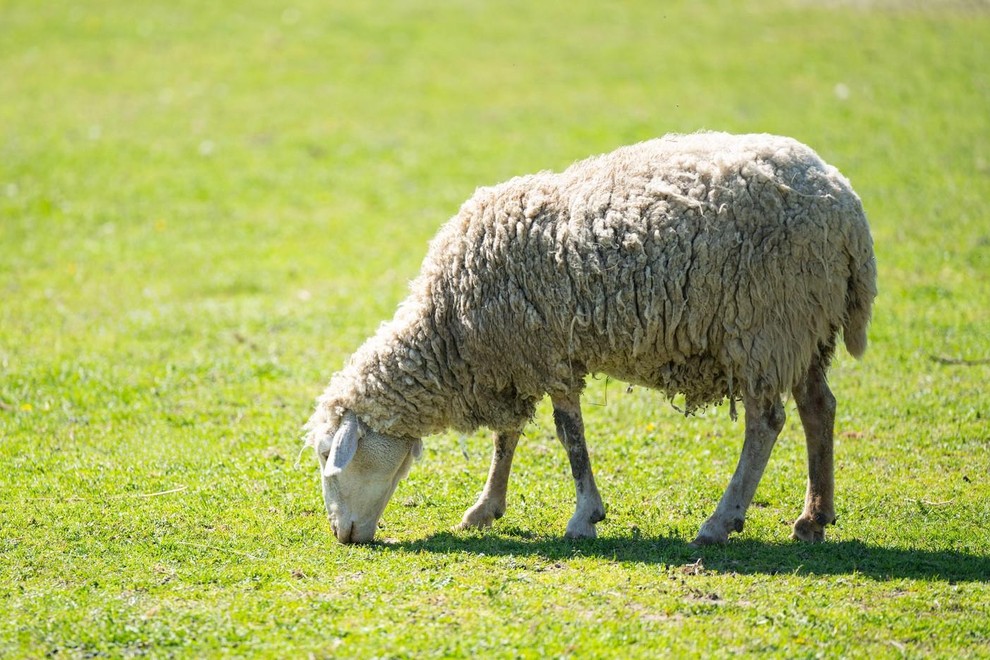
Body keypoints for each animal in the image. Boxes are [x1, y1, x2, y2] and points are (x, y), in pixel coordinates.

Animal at [306, 130, 880, 548]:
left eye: (328, 457)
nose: (343, 535)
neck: (450, 328)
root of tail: (847, 206)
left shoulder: (547, 353)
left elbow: (569, 436)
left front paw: (584, 516)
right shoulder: (515, 357)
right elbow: (507, 437)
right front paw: (486, 507)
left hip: (765, 324)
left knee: (767, 422)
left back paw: (721, 522)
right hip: (807, 328)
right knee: (818, 408)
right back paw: (814, 517)